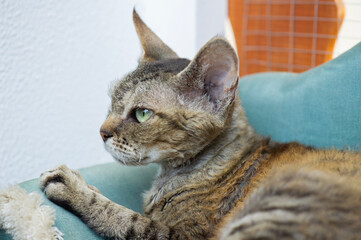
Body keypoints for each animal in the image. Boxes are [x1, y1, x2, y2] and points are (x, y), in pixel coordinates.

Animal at [39, 10, 360, 239]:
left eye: (141, 113)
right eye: (112, 102)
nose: (102, 131)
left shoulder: (182, 235)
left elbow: (130, 219)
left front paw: (73, 187)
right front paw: (86, 184)